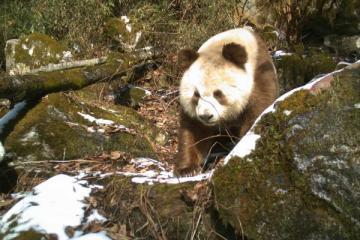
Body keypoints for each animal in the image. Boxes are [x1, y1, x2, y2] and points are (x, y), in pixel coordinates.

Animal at [176, 27, 280, 176]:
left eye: (218, 93)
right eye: (196, 94)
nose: (206, 116)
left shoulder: (259, 78)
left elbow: (256, 116)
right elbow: (194, 132)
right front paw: (187, 170)